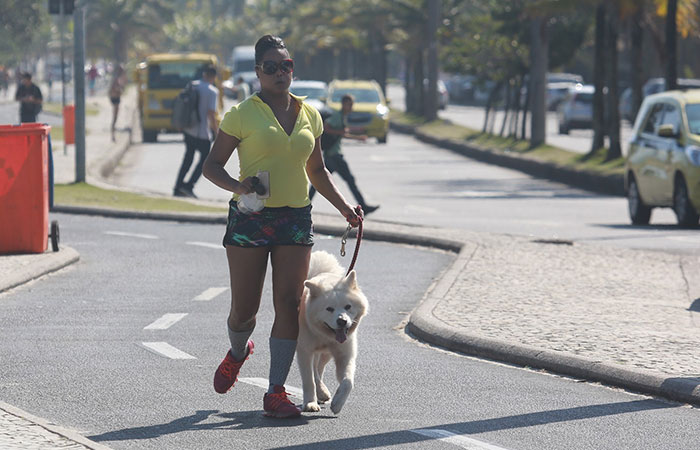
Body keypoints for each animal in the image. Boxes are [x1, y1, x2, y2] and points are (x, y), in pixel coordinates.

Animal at [298, 251, 370, 414]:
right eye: (329, 309)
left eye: (348, 306)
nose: (342, 321)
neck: (325, 336)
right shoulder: (304, 351)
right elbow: (309, 379)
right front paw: (310, 403)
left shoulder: (345, 354)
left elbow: (348, 382)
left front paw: (337, 404)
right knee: (315, 372)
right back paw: (321, 393)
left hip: (326, 355)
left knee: (319, 368)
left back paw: (323, 393)